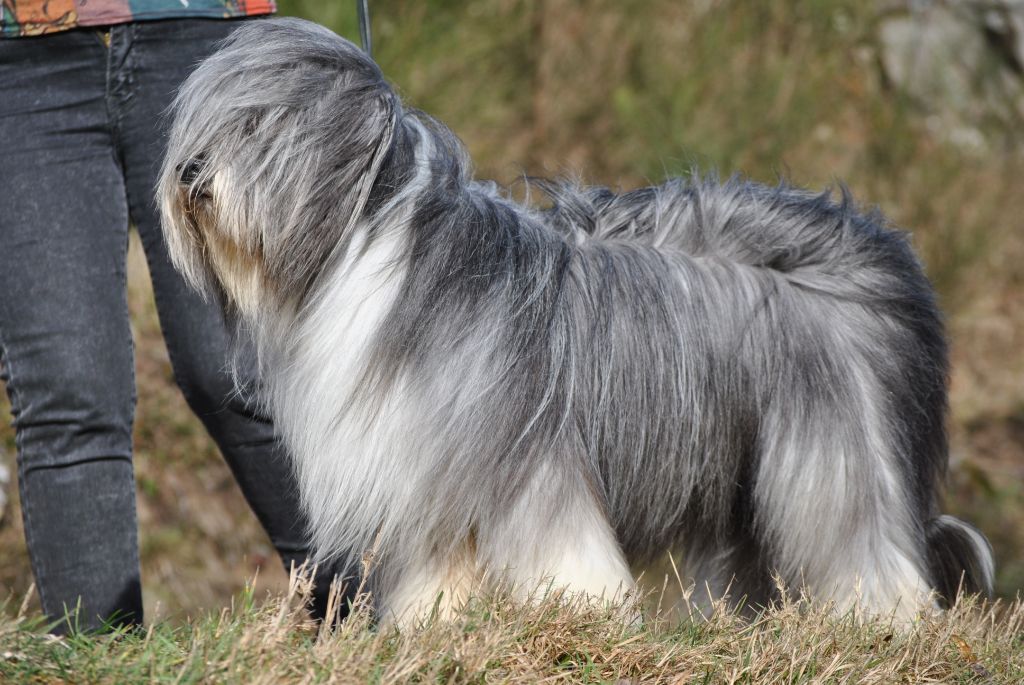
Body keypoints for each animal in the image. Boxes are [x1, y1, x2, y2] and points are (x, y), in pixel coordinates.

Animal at [158, 17, 994, 624]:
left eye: (258, 125)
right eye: (212, 123)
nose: (191, 174)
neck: (371, 249)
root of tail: (876, 253)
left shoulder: (524, 450)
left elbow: (559, 542)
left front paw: (580, 608)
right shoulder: (433, 461)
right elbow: (437, 565)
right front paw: (428, 625)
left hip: (831, 444)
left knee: (858, 536)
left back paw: (883, 616)